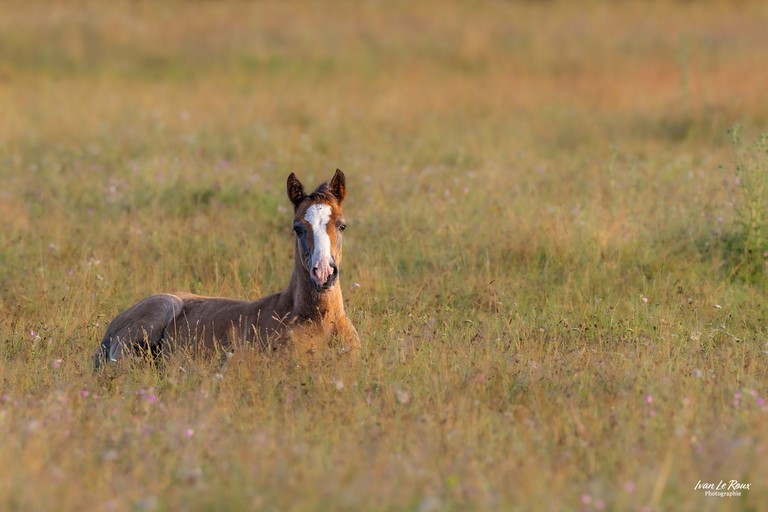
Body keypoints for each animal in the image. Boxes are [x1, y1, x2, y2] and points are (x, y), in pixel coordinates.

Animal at [93, 169, 360, 368]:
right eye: (297, 227)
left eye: (342, 225)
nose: (323, 273)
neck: (320, 321)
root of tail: (111, 329)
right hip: (156, 313)